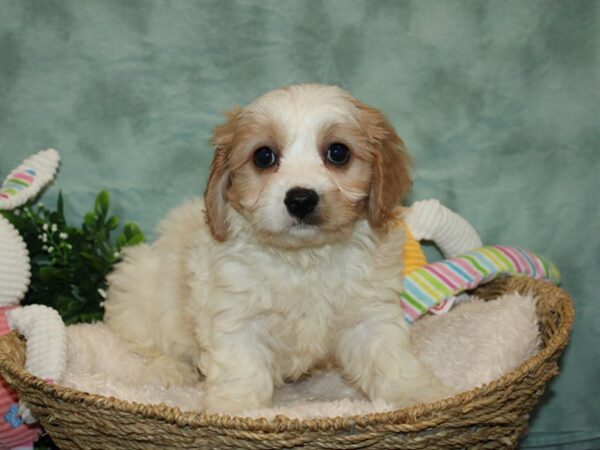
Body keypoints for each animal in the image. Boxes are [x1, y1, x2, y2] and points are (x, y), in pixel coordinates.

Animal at [103, 82, 450, 414]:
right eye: (264, 156)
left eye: (338, 152)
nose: (300, 199)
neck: (304, 257)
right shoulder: (235, 319)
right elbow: (243, 370)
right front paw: (240, 411)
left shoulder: (370, 316)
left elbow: (391, 360)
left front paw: (418, 396)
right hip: (141, 294)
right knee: (155, 344)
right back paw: (169, 371)